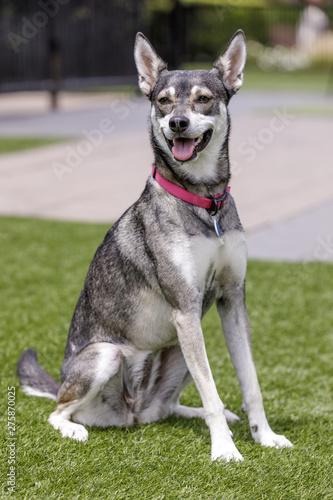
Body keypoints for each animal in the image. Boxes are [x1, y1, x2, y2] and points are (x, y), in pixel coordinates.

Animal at [16, 30, 290, 460]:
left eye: (203, 98)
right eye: (163, 101)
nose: (177, 123)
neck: (204, 202)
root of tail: (132, 414)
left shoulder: (232, 300)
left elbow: (251, 384)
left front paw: (265, 436)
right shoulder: (185, 309)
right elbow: (213, 391)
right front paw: (224, 451)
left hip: (181, 344)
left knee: (168, 406)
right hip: (110, 355)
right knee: (59, 410)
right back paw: (74, 429)